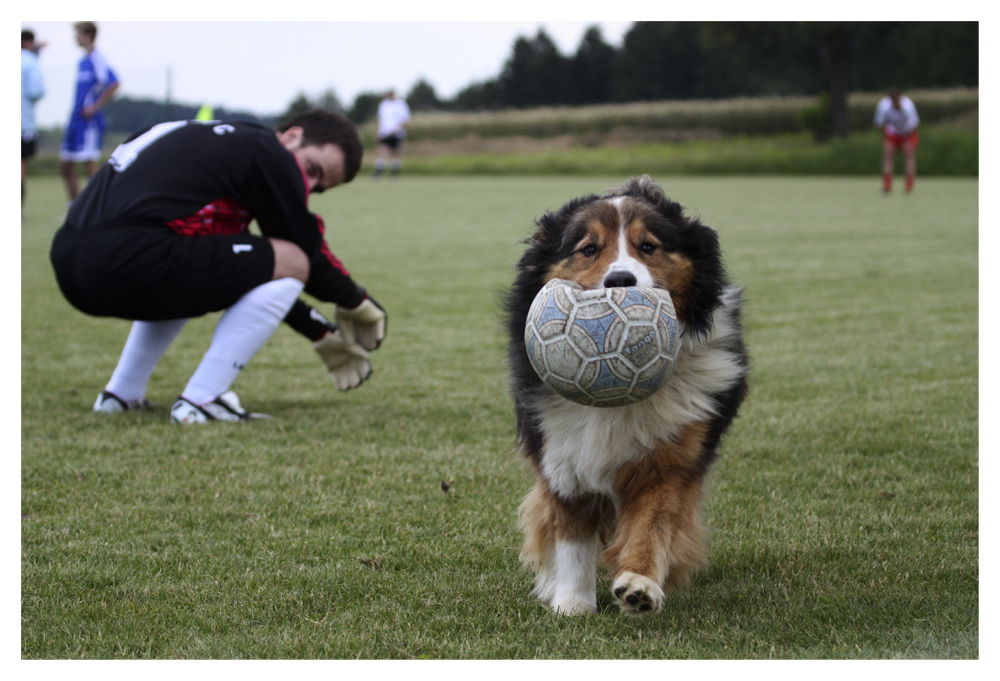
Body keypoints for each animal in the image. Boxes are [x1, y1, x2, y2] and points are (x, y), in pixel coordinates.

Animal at [504, 175, 748, 616]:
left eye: (648, 246)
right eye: (588, 249)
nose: (620, 281)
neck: (614, 399)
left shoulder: (672, 460)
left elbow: (653, 523)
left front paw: (640, 584)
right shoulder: (561, 451)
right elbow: (572, 534)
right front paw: (573, 601)